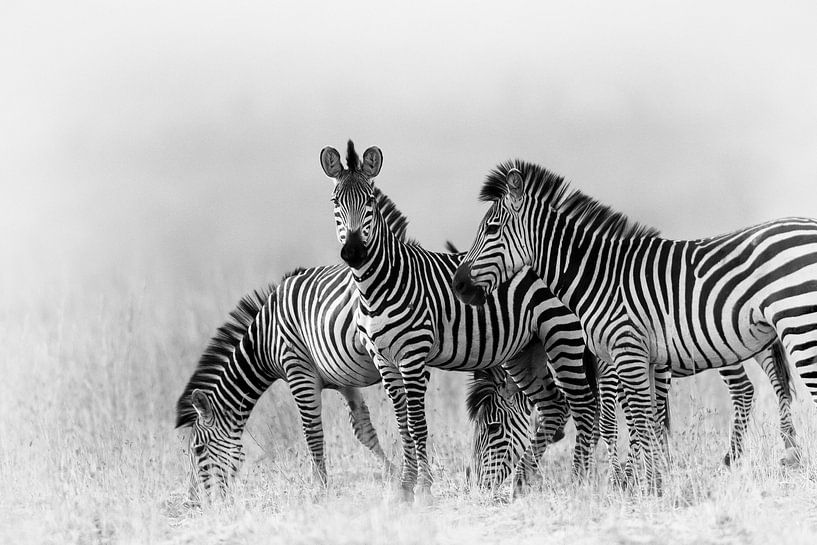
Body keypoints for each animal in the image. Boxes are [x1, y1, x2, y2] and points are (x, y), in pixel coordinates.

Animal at [319, 141, 597, 501]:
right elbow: (402, 424)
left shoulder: (414, 356)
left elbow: (417, 424)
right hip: (526, 351)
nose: (354, 253)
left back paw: (582, 480)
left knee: (582, 405)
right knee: (555, 407)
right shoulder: (384, 360)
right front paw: (405, 488)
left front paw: (423, 488)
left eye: (369, 201)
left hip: (564, 335)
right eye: (335, 203)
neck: (380, 283)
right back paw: (526, 481)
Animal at [452, 160, 813, 488]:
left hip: (795, 326)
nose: (459, 285)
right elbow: (648, 421)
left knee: (754, 388)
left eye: (491, 229)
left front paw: (635, 482)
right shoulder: (642, 360)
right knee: (773, 381)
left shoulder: (623, 354)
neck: (599, 278)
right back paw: (783, 453)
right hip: (762, 336)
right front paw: (649, 479)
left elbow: (626, 422)